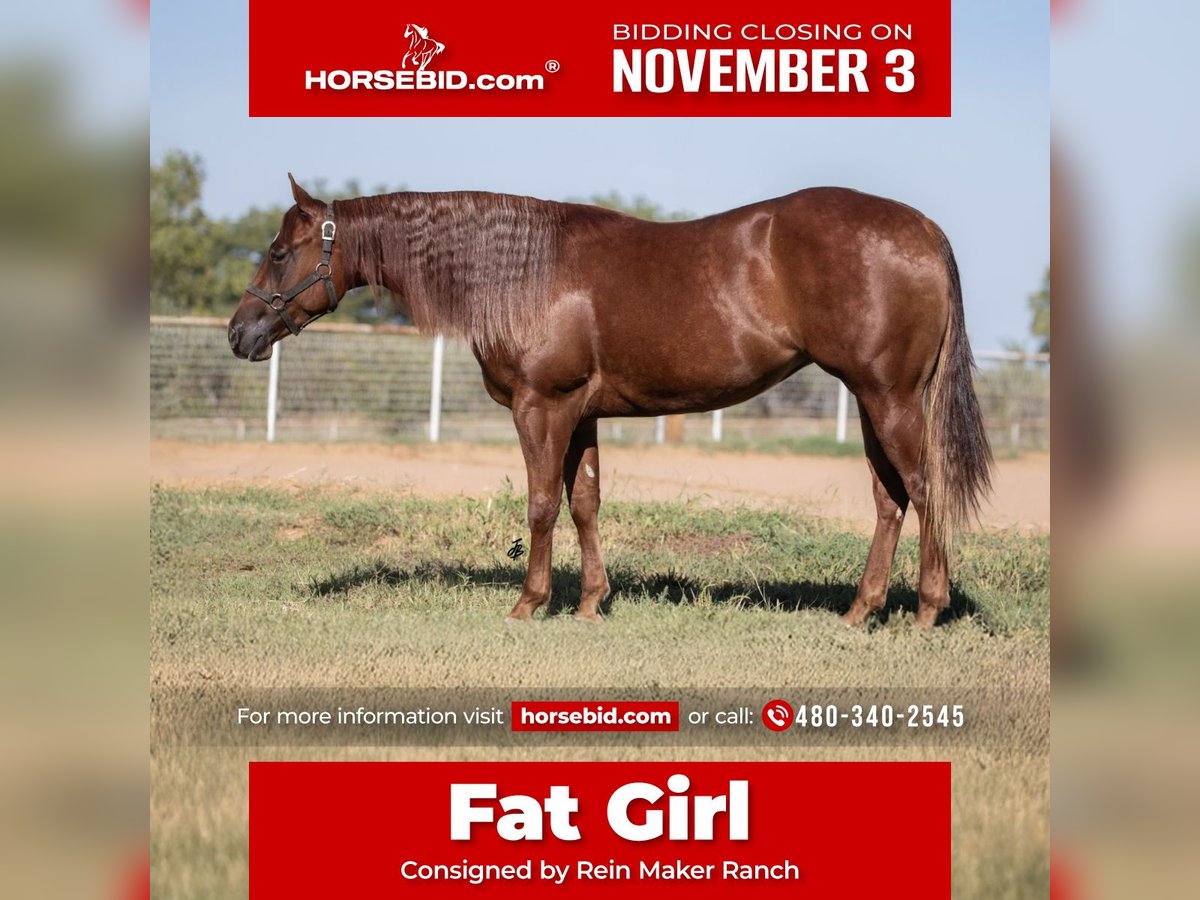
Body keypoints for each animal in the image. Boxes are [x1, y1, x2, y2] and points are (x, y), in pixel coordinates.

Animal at [228, 176, 992, 627]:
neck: (521, 273)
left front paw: (529, 603)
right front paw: (592, 603)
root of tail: (925, 229)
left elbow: (540, 504)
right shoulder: (582, 414)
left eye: (278, 251)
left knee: (924, 490)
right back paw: (861, 611)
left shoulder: (542, 406)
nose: (240, 332)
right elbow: (586, 503)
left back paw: (926, 611)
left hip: (889, 399)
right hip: (871, 400)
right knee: (890, 498)